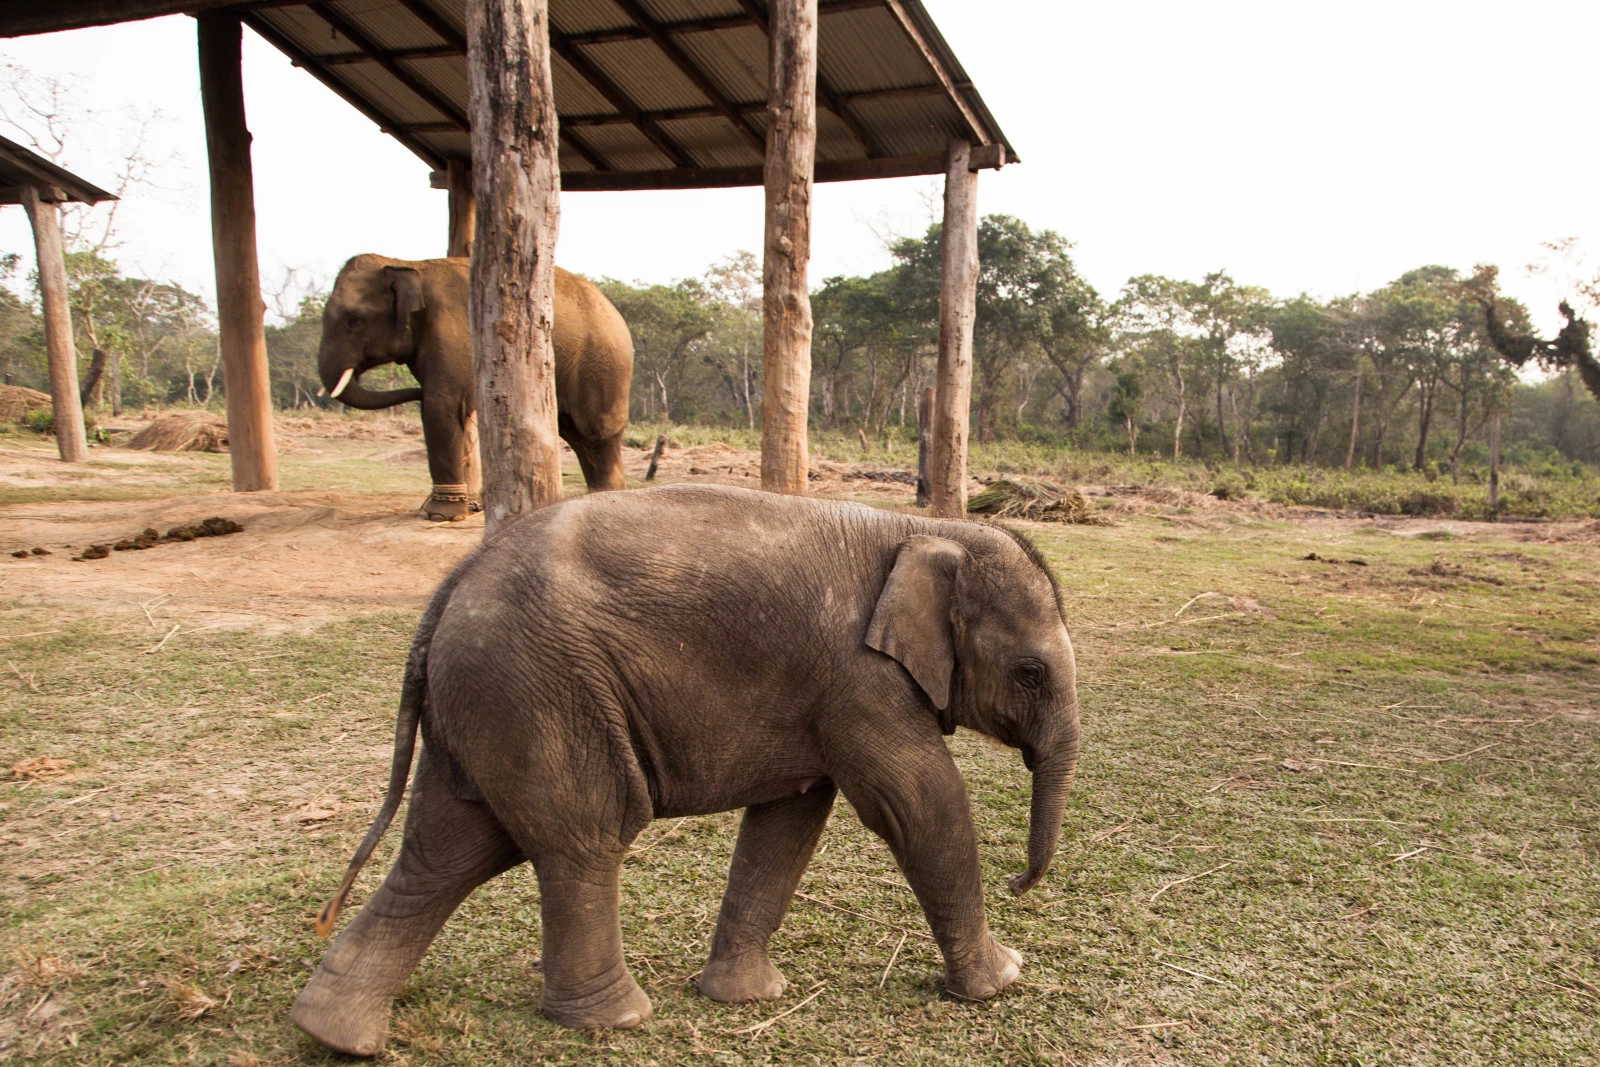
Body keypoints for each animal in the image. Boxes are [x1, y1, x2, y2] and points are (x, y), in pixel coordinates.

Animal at [294, 489, 1081, 1055]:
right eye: (1030, 672)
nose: (1020, 881)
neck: (925, 528)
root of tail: (449, 586)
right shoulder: (862, 678)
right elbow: (919, 801)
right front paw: (1002, 979)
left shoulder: (820, 693)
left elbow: (790, 819)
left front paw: (746, 998)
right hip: (541, 692)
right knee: (583, 837)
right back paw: (614, 1021)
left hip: (487, 702)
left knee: (449, 849)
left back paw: (332, 1033)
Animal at [316, 252, 630, 518]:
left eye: (353, 320)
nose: (415, 392)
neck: (409, 264)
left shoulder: (453, 333)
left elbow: (441, 406)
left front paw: (441, 515)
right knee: (576, 437)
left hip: (602, 368)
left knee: (596, 434)